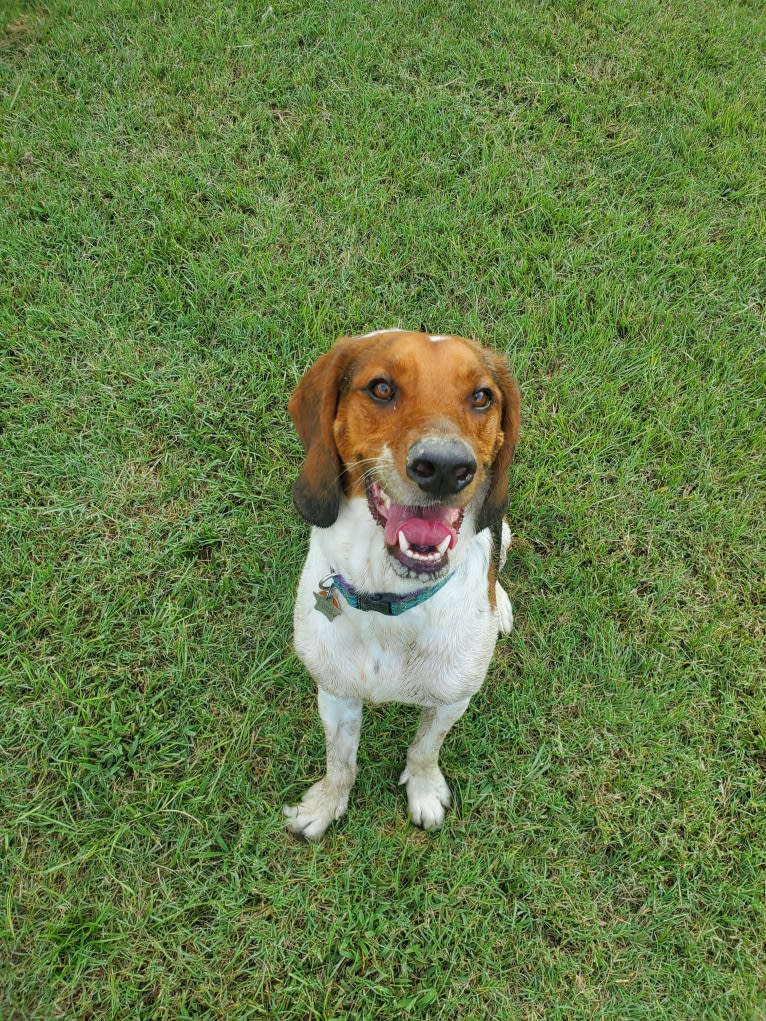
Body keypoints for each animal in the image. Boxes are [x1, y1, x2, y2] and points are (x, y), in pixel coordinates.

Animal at [283, 326, 522, 837]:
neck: (389, 600)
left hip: (503, 528)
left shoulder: (452, 699)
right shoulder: (334, 695)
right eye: (381, 388)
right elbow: (340, 763)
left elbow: (425, 749)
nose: (447, 467)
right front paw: (324, 807)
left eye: (481, 397)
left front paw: (425, 792)